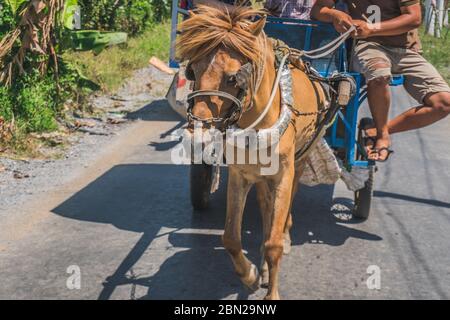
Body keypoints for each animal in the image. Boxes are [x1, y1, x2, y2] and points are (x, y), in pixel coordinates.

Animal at [176, 5, 326, 300]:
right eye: (192, 71)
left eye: (233, 77)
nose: (197, 136)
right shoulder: (241, 176)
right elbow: (231, 238)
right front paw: (251, 275)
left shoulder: (283, 175)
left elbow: (273, 244)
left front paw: (272, 291)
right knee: (266, 208)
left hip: (301, 160)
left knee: (286, 206)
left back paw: (285, 235)